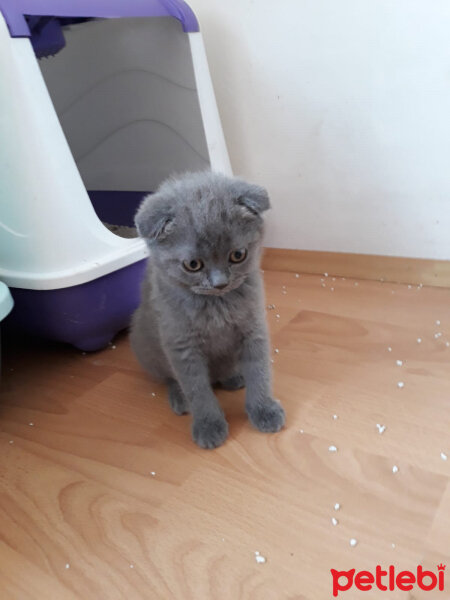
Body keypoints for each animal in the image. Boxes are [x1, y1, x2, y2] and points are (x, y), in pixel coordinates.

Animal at [130, 171, 284, 448]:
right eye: (193, 264)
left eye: (238, 255)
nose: (220, 283)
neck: (216, 306)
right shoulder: (182, 345)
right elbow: (197, 389)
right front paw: (209, 425)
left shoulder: (253, 329)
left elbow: (259, 371)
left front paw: (264, 410)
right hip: (145, 347)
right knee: (170, 378)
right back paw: (179, 397)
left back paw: (233, 377)